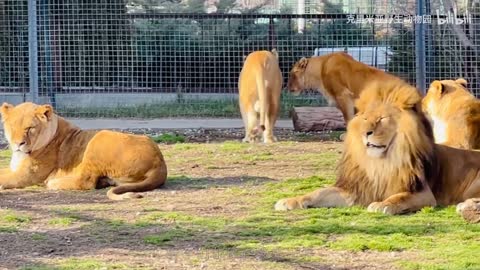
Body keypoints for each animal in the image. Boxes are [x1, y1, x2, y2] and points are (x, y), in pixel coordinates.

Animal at [0, 102, 169, 199]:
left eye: (30, 128)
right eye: (12, 127)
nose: (18, 143)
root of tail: (161, 164)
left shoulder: (27, 175)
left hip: (99, 138)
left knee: (86, 181)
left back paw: (54, 183)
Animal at [276, 79, 480, 214]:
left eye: (382, 119)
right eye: (365, 118)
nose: (366, 133)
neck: (380, 162)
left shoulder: (424, 194)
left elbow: (399, 197)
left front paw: (382, 204)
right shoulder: (356, 190)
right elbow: (318, 192)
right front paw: (289, 201)